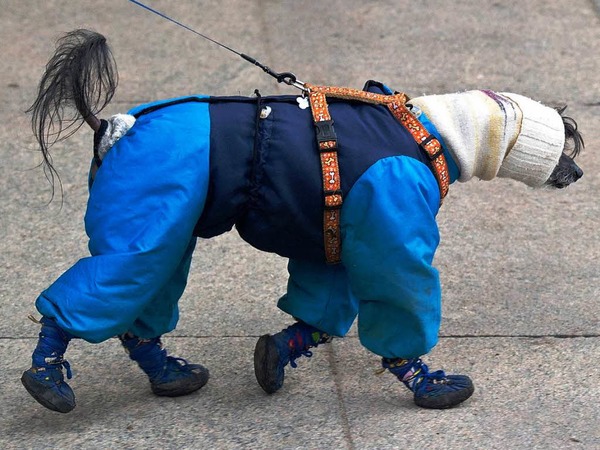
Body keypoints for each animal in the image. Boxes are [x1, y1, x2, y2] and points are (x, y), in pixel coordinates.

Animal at [21, 29, 584, 414]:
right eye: (566, 145)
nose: (578, 173)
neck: (433, 131)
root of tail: (113, 125)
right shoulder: (391, 210)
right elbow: (403, 292)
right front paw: (425, 380)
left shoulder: (337, 238)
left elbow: (316, 310)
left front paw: (279, 352)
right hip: (147, 209)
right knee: (92, 293)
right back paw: (47, 377)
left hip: (167, 222)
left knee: (140, 307)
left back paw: (167, 374)